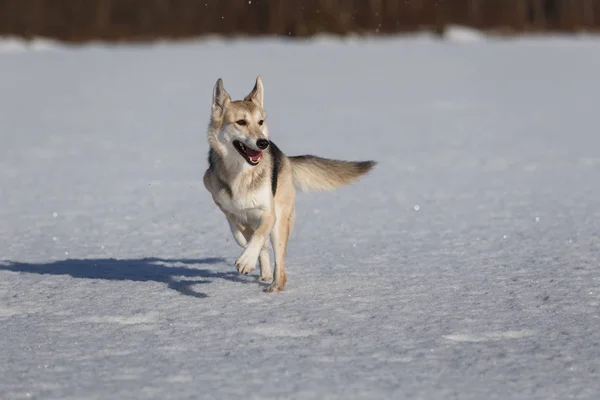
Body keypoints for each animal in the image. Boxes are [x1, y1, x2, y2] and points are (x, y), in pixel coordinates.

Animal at [204, 76, 378, 292]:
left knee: (280, 264)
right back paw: (265, 272)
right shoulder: (226, 207)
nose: (263, 143)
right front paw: (251, 255)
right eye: (241, 122)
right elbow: (241, 233)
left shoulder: (268, 214)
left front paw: (246, 260)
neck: (241, 174)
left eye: (260, 122)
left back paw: (274, 286)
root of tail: (285, 157)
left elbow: (258, 236)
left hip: (280, 221)